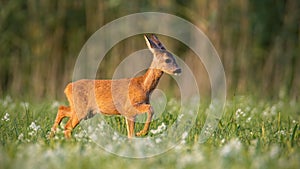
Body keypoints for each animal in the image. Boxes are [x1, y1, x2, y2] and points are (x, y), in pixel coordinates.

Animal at [49, 34, 180, 139]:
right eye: (167, 60)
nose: (179, 69)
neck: (143, 85)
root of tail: (67, 88)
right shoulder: (129, 107)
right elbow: (150, 110)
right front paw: (142, 133)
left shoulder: (130, 113)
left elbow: (130, 134)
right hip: (82, 109)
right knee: (68, 126)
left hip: (85, 110)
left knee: (61, 109)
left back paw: (51, 137)